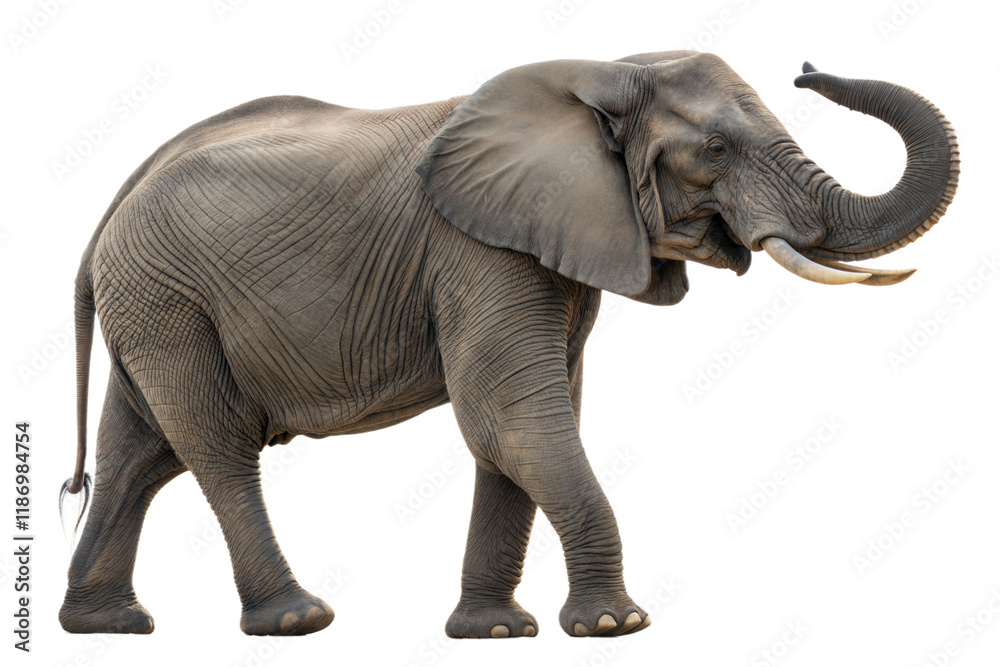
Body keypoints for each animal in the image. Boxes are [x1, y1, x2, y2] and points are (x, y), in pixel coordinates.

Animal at [58, 50, 958, 638]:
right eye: (715, 149)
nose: (808, 68)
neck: (601, 70)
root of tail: (109, 209)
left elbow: (519, 428)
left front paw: (493, 632)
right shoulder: (477, 250)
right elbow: (512, 417)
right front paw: (616, 624)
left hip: (153, 304)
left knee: (142, 453)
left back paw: (106, 625)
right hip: (168, 299)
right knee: (216, 447)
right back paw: (297, 617)